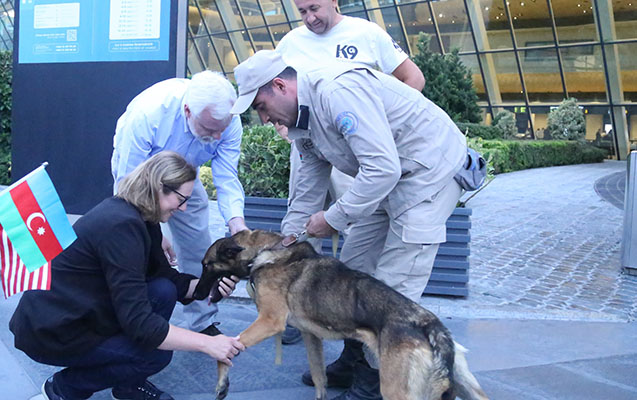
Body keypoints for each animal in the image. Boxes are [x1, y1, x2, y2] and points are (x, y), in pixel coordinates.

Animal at [194, 231, 486, 400]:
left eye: (206, 265)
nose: (193, 294)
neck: (270, 249)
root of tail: (430, 324)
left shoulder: (269, 322)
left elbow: (227, 352)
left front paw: (222, 385)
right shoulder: (310, 336)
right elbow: (319, 377)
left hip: (396, 390)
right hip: (467, 388)